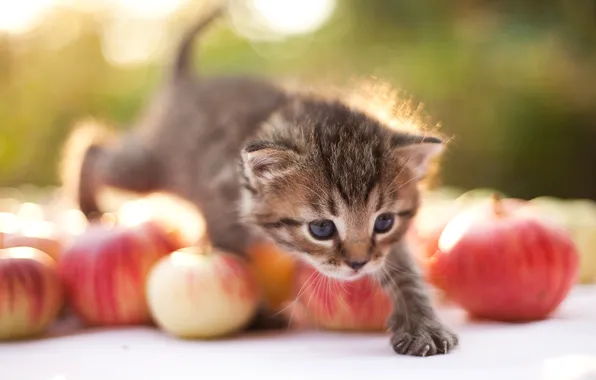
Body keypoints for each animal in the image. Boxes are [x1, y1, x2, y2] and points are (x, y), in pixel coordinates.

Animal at [61, 6, 460, 356]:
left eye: (384, 222)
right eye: (321, 228)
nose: (358, 265)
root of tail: (185, 82)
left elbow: (405, 271)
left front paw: (423, 324)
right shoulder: (219, 207)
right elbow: (238, 261)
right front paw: (257, 315)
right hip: (149, 168)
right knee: (96, 149)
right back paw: (88, 206)